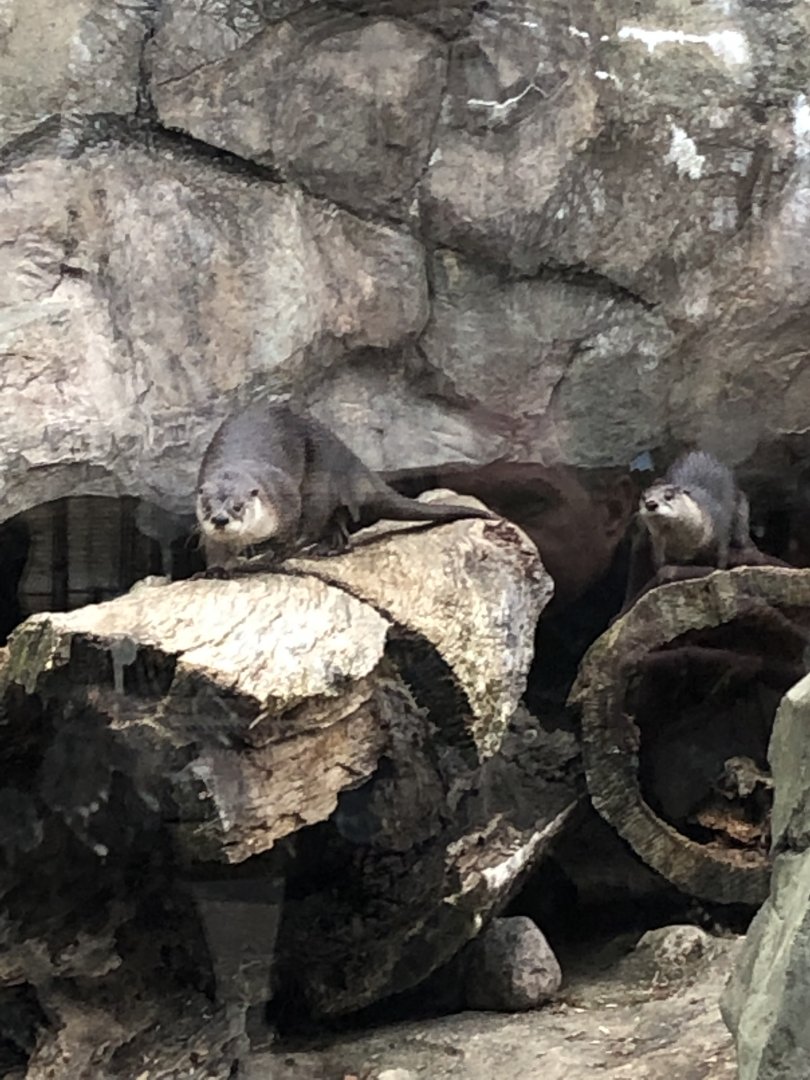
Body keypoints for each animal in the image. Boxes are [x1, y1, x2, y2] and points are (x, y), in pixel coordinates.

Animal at [195, 401, 495, 572]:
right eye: (208, 507)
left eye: (238, 506)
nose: (220, 519)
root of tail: (349, 459)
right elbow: (213, 547)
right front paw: (216, 570)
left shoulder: (285, 498)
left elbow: (290, 534)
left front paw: (276, 555)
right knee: (338, 525)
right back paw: (330, 548)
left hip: (319, 482)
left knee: (316, 521)